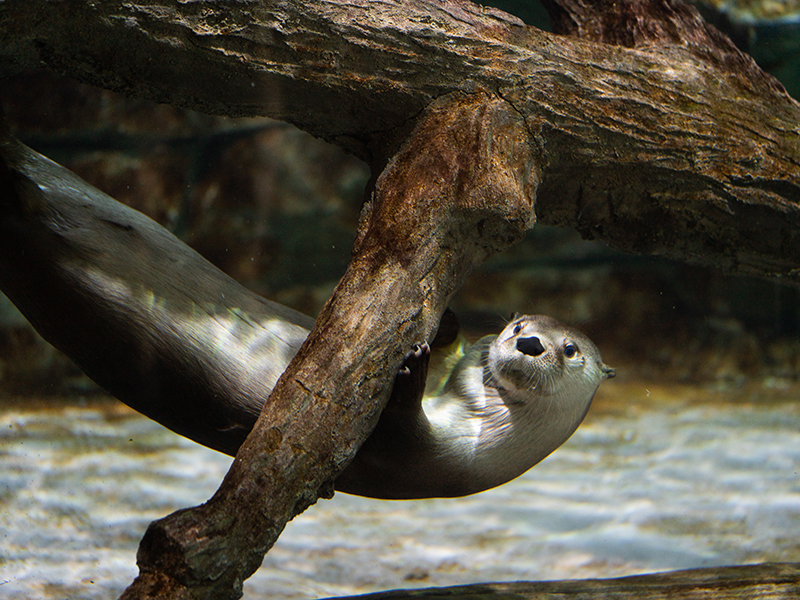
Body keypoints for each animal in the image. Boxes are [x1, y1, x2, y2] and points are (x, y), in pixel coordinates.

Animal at [0, 131, 614, 499]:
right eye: (519, 325)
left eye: (569, 350)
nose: (529, 343)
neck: (475, 433)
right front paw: (440, 329)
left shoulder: (421, 458)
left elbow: (392, 428)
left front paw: (410, 369)